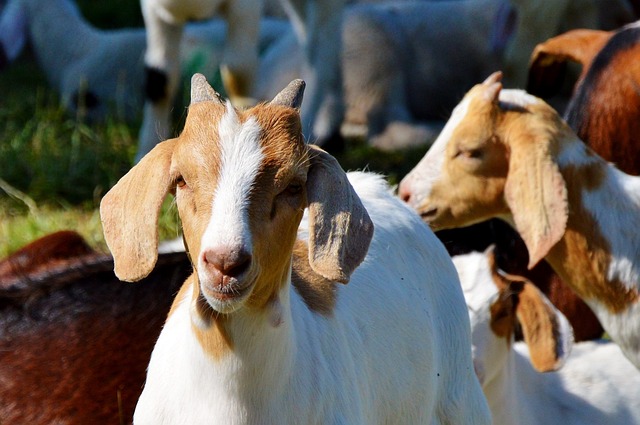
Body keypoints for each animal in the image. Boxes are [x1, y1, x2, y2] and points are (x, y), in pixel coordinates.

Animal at [140, 0, 348, 161]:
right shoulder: (153, 9)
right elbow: (159, 78)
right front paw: (146, 154)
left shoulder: (245, 8)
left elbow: (239, 70)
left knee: (322, 48)